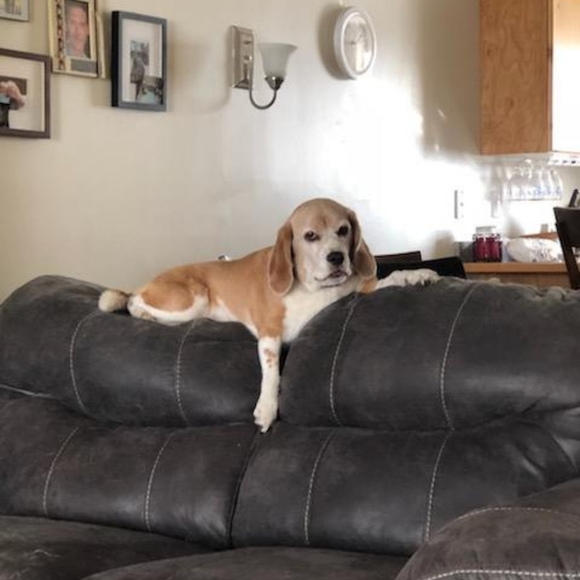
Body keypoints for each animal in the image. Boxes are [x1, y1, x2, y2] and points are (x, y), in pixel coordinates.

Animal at [98, 198, 439, 432]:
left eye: (343, 230)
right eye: (310, 236)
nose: (337, 257)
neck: (314, 289)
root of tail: (150, 281)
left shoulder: (359, 289)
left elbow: (389, 280)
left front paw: (416, 275)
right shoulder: (268, 335)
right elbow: (272, 373)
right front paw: (266, 408)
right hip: (192, 299)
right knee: (132, 301)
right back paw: (142, 311)